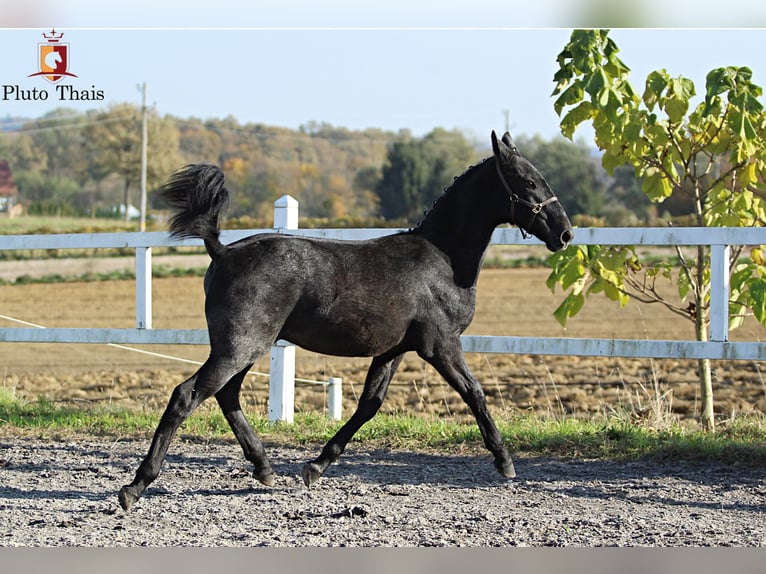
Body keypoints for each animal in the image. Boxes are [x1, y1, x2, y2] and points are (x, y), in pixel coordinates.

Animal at [118, 132, 576, 512]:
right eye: (527, 181)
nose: (566, 234)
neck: (442, 260)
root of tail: (223, 251)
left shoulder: (393, 350)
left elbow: (368, 405)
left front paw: (315, 467)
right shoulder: (440, 344)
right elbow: (475, 393)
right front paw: (505, 462)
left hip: (247, 346)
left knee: (226, 395)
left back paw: (264, 468)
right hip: (240, 345)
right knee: (187, 395)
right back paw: (135, 487)